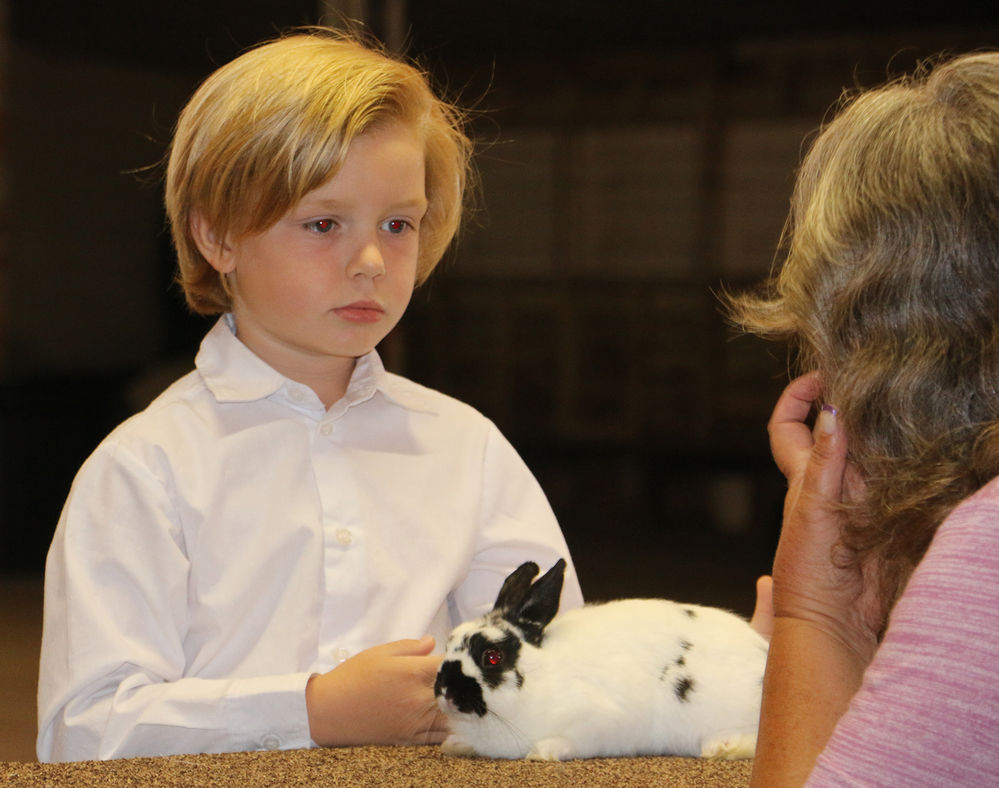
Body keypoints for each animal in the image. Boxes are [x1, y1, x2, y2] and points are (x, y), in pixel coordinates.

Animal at [434, 556, 768, 760]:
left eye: (492, 657)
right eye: (449, 643)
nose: (446, 692)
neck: (541, 677)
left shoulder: (598, 723)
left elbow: (572, 741)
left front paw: (543, 751)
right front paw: (455, 744)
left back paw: (722, 745)